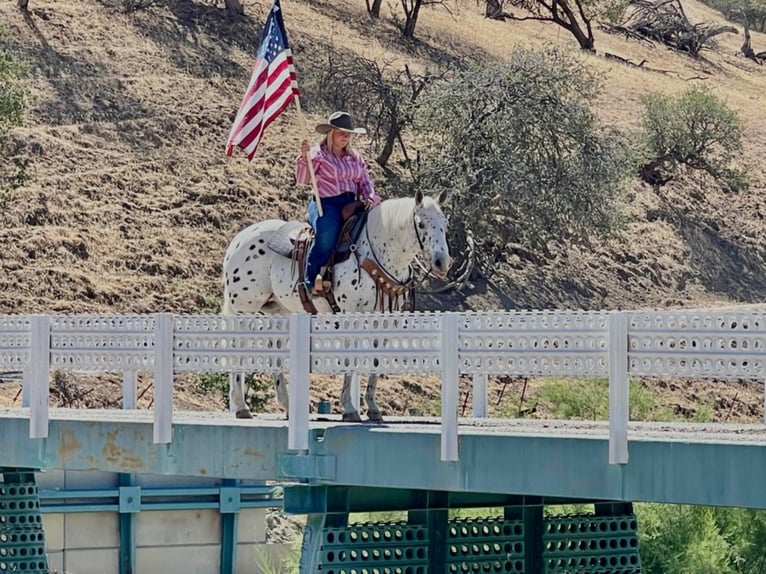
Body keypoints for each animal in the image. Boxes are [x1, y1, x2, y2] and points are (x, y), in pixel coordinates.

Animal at [220, 189, 450, 424]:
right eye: (421, 224)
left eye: (445, 223)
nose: (442, 262)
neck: (377, 251)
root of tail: (239, 239)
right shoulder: (351, 314)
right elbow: (350, 359)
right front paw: (349, 408)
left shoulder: (384, 318)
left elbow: (375, 361)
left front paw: (373, 408)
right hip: (244, 309)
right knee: (237, 348)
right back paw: (241, 406)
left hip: (278, 310)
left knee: (274, 353)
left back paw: (287, 405)